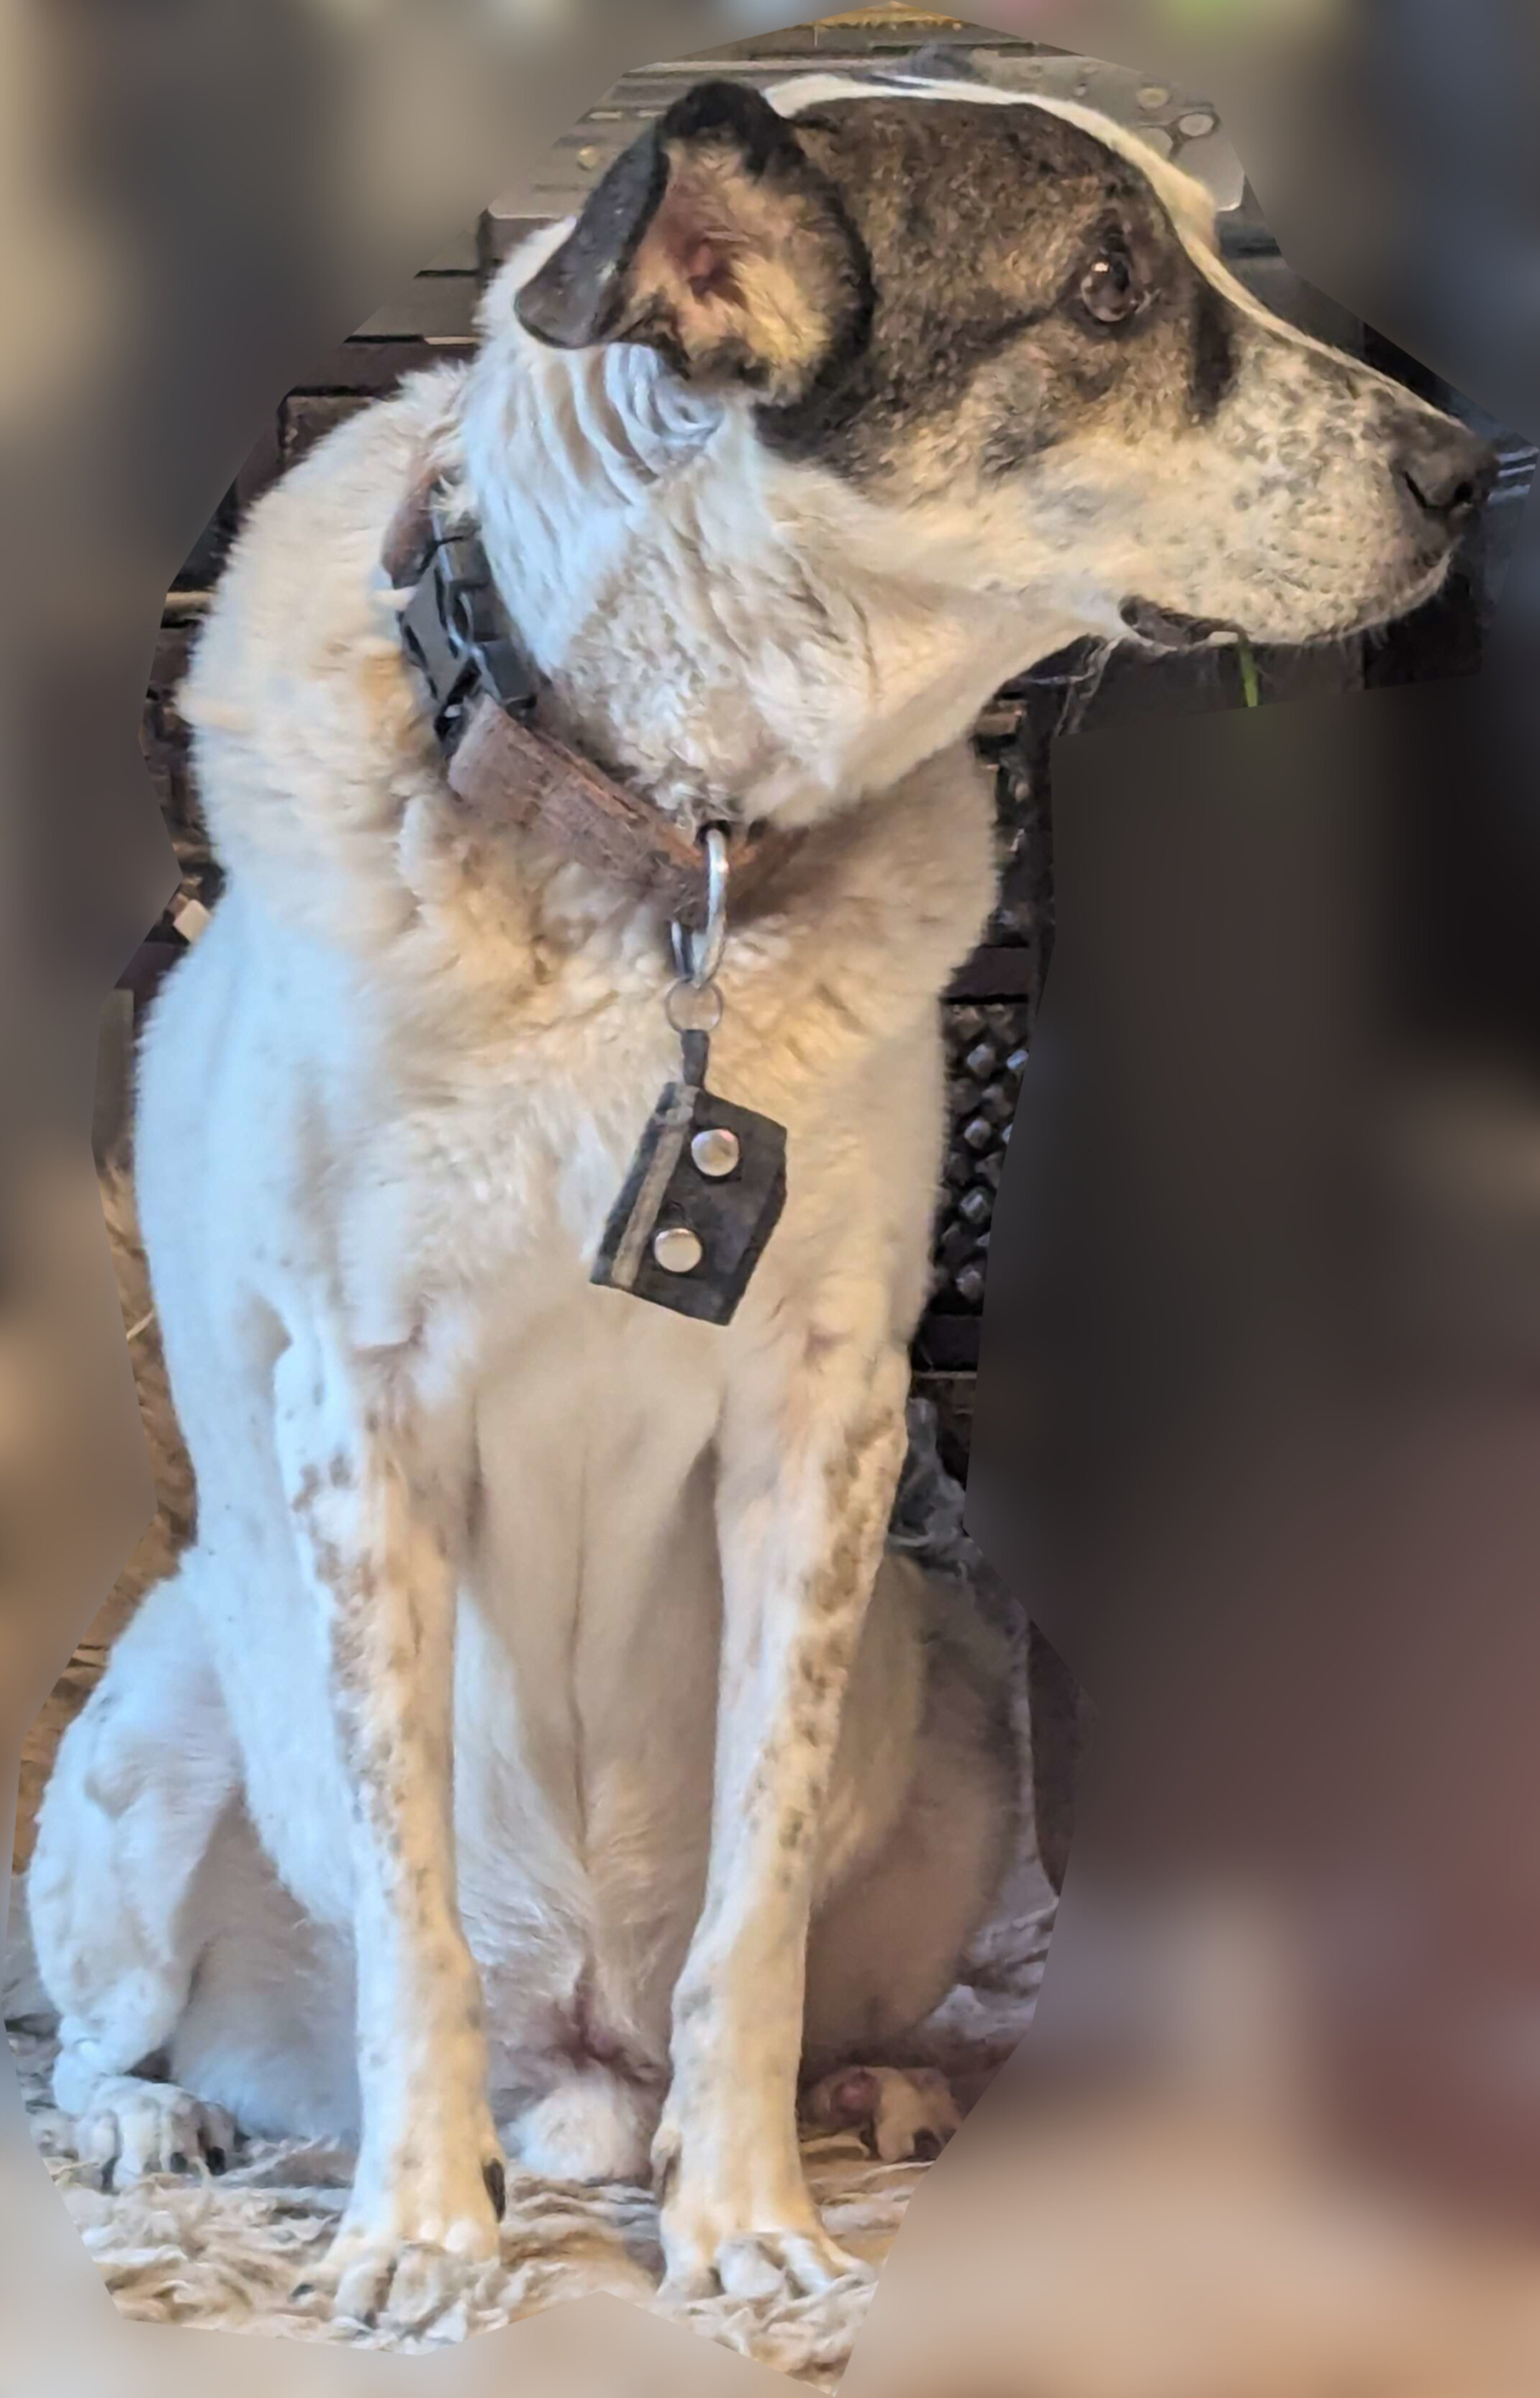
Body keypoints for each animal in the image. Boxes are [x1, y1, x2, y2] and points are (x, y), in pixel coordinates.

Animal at [28, 66, 1495, 2326]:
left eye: (1202, 248)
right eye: (1104, 286)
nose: (1470, 472)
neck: (676, 852)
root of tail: (572, 2069)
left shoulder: (822, 1421)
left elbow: (756, 1897)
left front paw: (742, 2220)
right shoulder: (364, 1417)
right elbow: (408, 1901)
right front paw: (416, 2232)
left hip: (958, 1679)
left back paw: (878, 2097)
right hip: (160, 1715)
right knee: (116, 2027)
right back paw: (167, 2127)